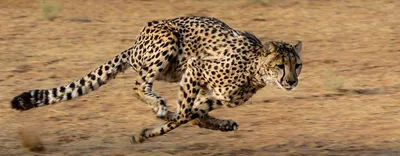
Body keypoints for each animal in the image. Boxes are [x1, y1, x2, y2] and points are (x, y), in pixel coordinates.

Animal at [10, 15, 304, 143]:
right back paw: (158, 105)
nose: (291, 82)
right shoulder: (197, 67)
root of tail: (135, 43)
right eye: (280, 65)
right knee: (138, 85)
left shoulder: (212, 95)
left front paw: (148, 132)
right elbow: (184, 114)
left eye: (297, 65)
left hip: (174, 70)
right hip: (168, 41)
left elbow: (191, 115)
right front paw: (152, 127)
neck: (255, 70)